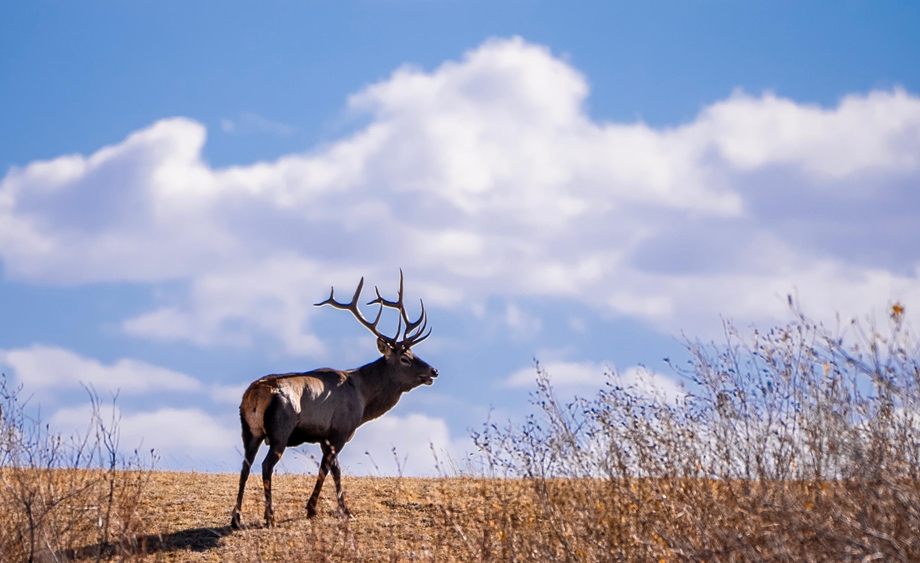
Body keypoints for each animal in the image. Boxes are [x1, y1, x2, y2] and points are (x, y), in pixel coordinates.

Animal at [229, 271, 438, 529]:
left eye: (413, 354)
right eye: (404, 358)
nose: (433, 371)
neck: (364, 399)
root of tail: (255, 394)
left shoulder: (324, 436)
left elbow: (334, 469)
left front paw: (339, 510)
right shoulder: (340, 430)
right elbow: (327, 467)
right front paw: (318, 509)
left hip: (250, 430)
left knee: (245, 465)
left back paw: (236, 518)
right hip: (280, 429)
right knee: (266, 466)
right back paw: (270, 517)